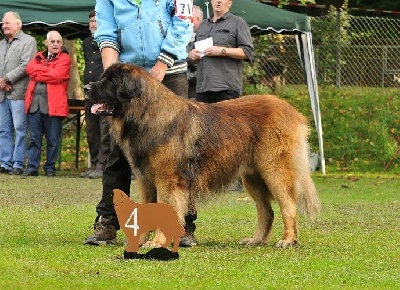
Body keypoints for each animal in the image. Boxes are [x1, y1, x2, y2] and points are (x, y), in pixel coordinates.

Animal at [89, 62, 320, 248]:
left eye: (110, 81)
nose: (88, 87)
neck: (146, 114)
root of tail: (292, 110)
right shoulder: (146, 182)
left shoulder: (167, 181)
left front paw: (157, 242)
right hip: (253, 177)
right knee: (266, 211)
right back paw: (255, 240)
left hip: (274, 171)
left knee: (288, 206)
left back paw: (288, 240)